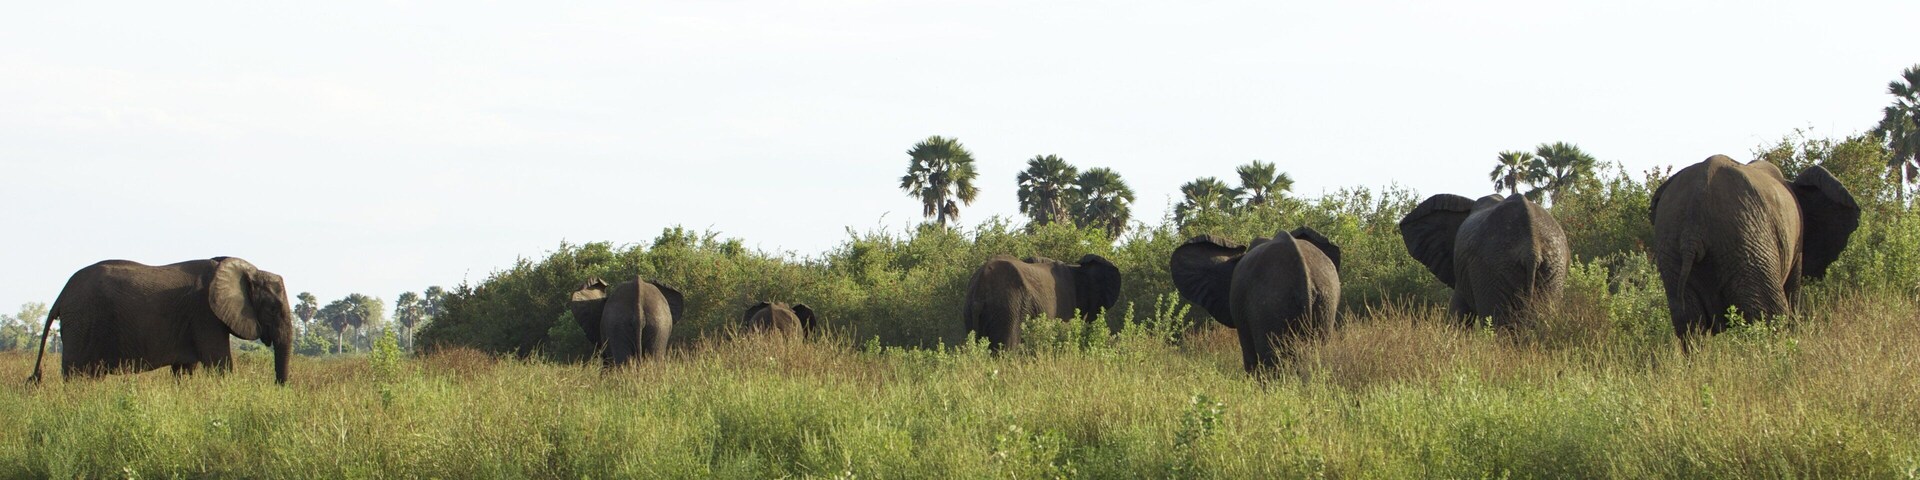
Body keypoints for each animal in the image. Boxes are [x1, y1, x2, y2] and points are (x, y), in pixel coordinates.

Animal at [28, 257, 293, 385]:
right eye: (273, 309)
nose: (278, 387)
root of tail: (62, 294)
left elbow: (184, 371)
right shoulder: (205, 315)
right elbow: (220, 364)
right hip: (83, 321)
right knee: (76, 375)